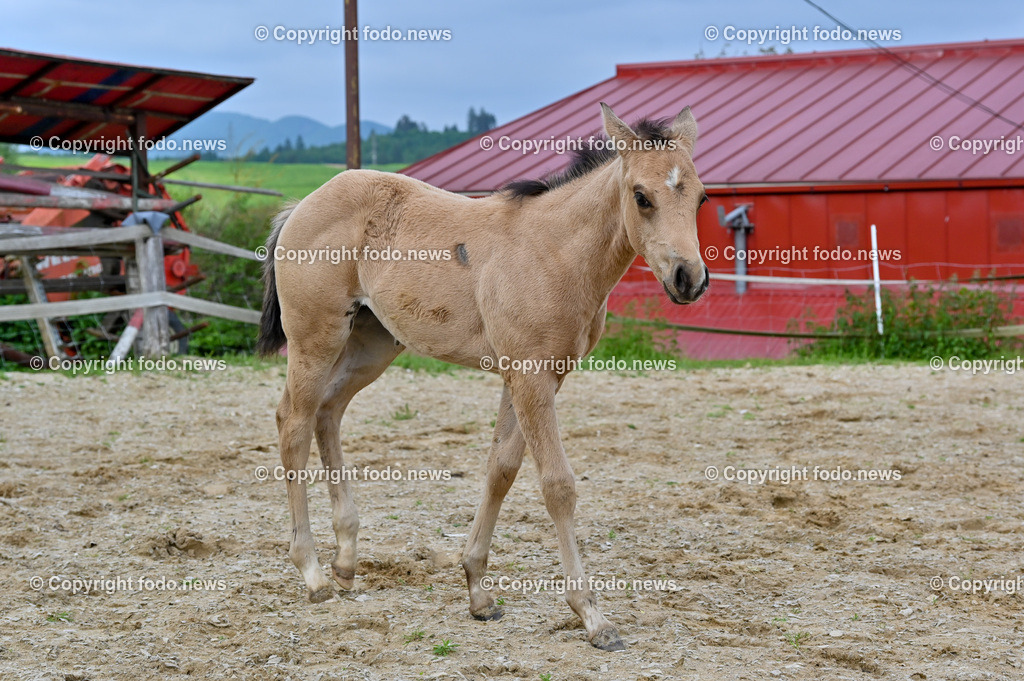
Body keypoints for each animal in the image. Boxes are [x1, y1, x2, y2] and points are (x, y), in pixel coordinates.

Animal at [256, 103, 709, 651]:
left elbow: (501, 470)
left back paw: (345, 558)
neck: (556, 252)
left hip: (372, 344)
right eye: (642, 197)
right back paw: (313, 572)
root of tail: (302, 205)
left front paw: (477, 589)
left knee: (328, 412)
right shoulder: (531, 377)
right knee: (293, 423)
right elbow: (557, 485)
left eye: (702, 197)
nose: (689, 279)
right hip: (314, 340)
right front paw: (593, 616)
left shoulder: (536, 376)